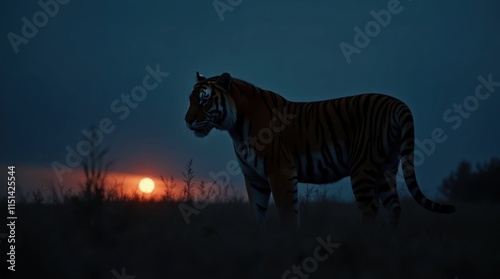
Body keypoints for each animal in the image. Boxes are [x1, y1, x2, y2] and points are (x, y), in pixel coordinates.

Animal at [186, 72, 456, 228]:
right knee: (394, 206)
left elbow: (288, 214)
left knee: (371, 208)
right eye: (190, 100)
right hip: (386, 167)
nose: (187, 121)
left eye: (204, 100)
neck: (235, 126)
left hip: (363, 166)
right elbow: (257, 215)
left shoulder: (279, 171)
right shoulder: (254, 178)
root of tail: (397, 103)